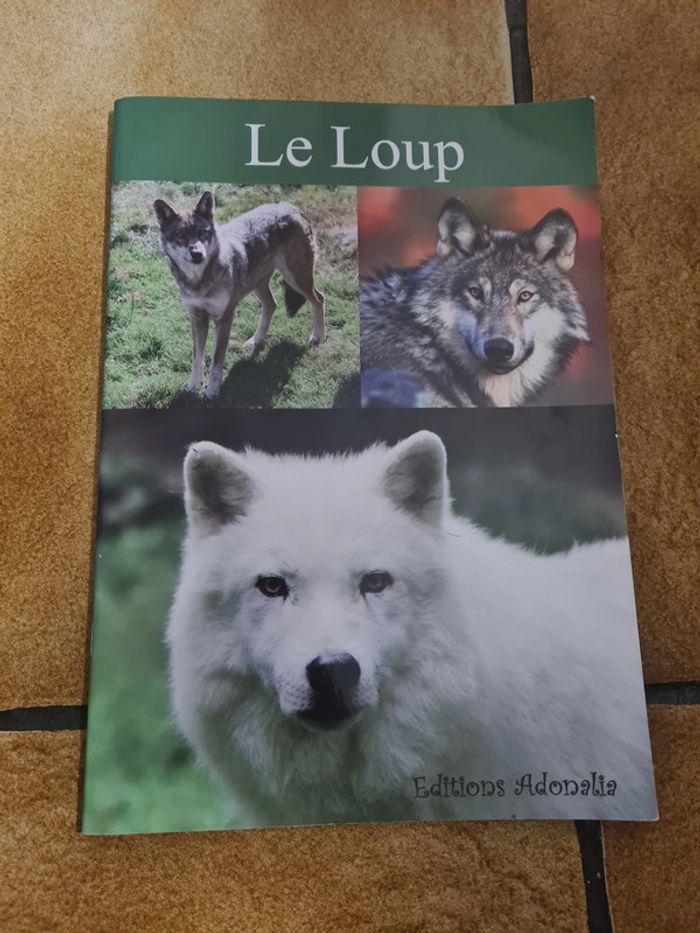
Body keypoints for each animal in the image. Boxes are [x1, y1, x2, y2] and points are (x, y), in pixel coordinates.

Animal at [154, 191, 326, 399]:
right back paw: (256, 340)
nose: (198, 254)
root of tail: (293, 207)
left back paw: (318, 336)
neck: (199, 281)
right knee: (272, 305)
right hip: (260, 284)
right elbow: (197, 358)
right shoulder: (197, 318)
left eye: (203, 233)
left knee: (319, 299)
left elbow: (216, 361)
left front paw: (212, 391)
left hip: (296, 279)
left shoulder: (225, 319)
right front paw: (193, 387)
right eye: (181, 236)